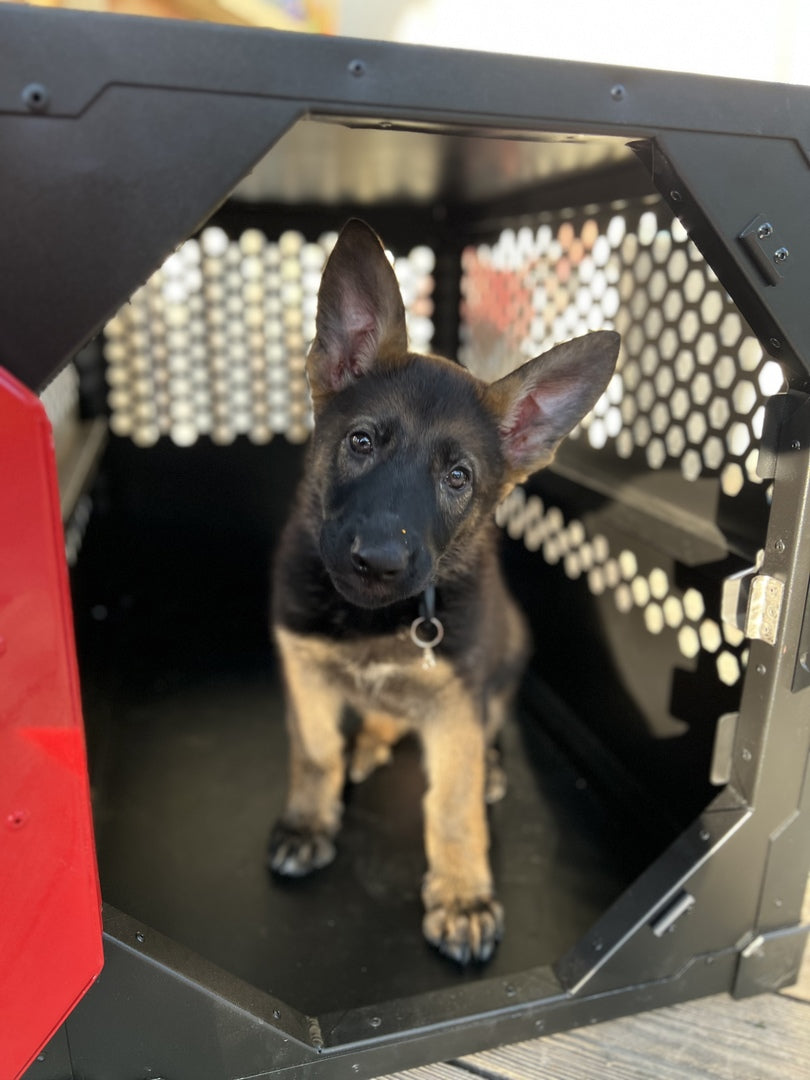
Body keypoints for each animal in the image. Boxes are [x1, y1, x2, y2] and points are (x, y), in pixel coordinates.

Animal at [273, 219, 622, 963]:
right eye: (361, 442)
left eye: (458, 477)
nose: (377, 561)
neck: (373, 620)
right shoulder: (303, 670)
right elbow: (315, 753)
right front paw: (310, 821)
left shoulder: (458, 700)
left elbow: (453, 805)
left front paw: (462, 896)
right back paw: (368, 744)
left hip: (505, 660)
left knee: (486, 732)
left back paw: (485, 767)